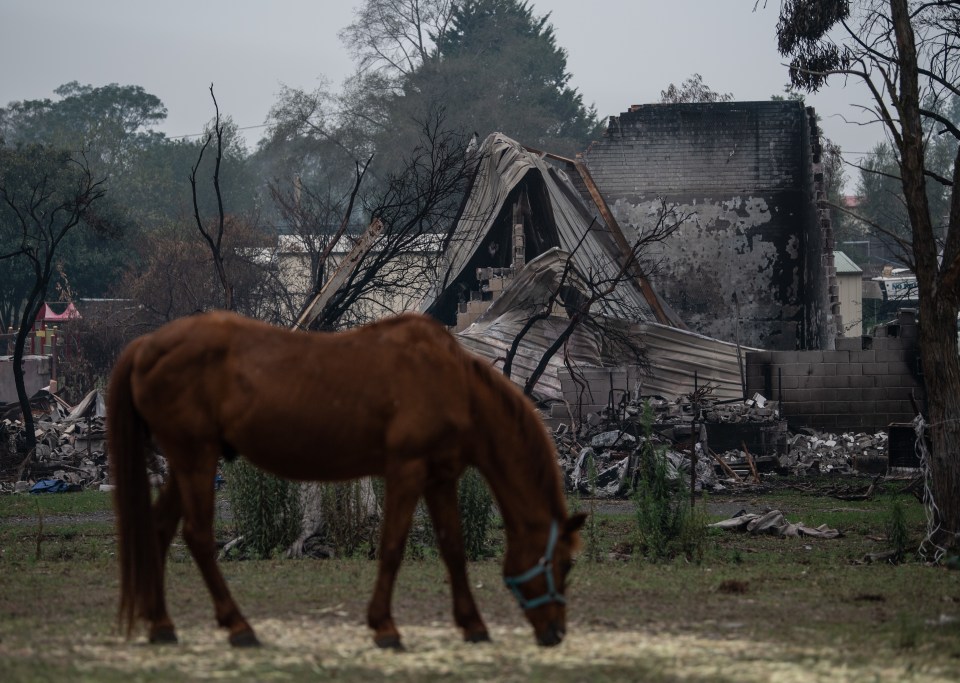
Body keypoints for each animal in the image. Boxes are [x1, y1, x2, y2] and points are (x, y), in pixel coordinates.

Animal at [107, 312, 584, 648]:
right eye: (562, 563)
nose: (555, 633)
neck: (451, 380)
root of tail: (148, 345)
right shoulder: (406, 469)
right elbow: (391, 547)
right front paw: (385, 628)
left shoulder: (439, 478)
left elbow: (453, 548)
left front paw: (472, 625)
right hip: (196, 459)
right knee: (198, 536)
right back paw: (240, 628)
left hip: (187, 462)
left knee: (158, 530)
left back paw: (163, 626)